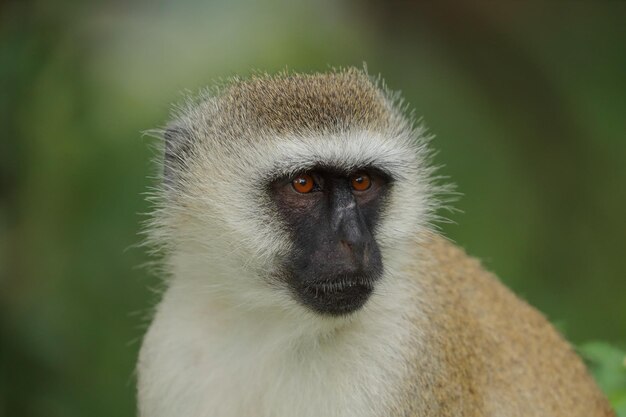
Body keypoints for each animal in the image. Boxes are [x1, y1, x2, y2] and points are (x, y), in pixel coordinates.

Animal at [135, 69, 608, 416]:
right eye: (304, 183)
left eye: (363, 181)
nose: (355, 241)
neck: (271, 326)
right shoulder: (172, 351)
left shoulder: (403, 356)